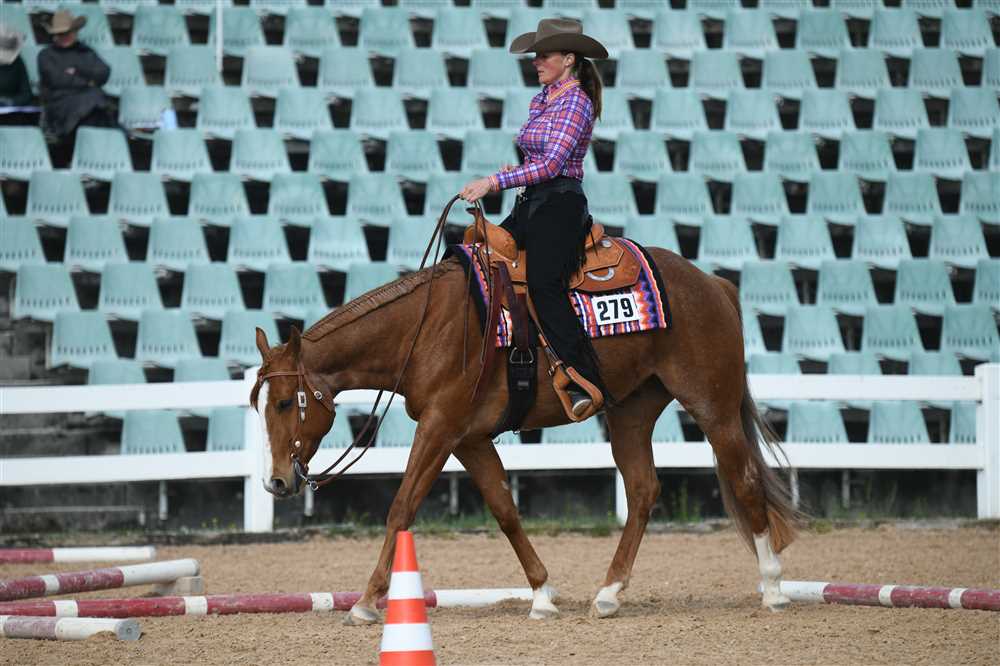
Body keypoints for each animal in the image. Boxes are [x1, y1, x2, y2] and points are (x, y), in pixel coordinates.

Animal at [251, 245, 800, 623]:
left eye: (285, 402)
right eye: (259, 403)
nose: (277, 482)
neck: (425, 328)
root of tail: (712, 284)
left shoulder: (439, 427)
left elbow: (402, 506)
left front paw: (366, 602)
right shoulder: (468, 438)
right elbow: (505, 510)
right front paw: (542, 595)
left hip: (713, 407)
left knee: (745, 479)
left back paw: (773, 587)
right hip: (630, 413)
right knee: (643, 490)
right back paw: (607, 594)